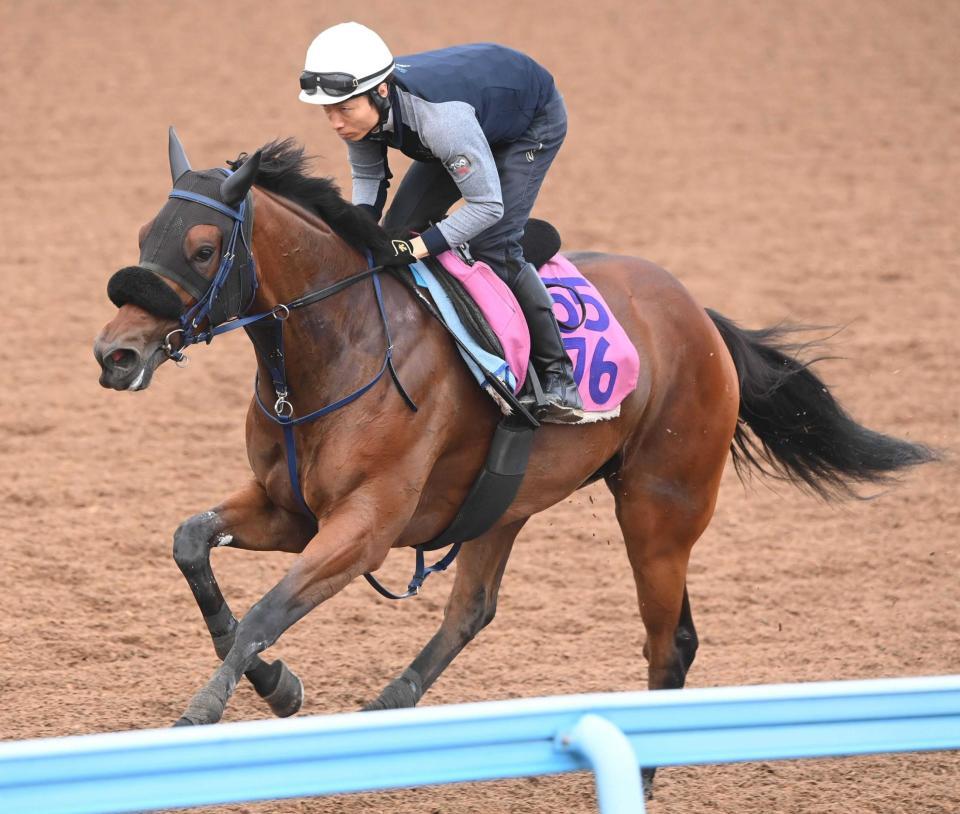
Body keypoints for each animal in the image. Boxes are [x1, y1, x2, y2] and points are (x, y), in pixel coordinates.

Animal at [93, 132, 934, 789]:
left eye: (202, 249)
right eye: (143, 234)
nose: (115, 354)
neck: (339, 345)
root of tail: (699, 315)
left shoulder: (364, 526)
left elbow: (269, 610)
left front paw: (205, 712)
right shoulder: (289, 508)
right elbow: (190, 544)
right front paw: (278, 685)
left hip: (661, 507)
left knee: (669, 641)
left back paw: (642, 768)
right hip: (507, 498)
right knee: (475, 608)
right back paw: (388, 707)